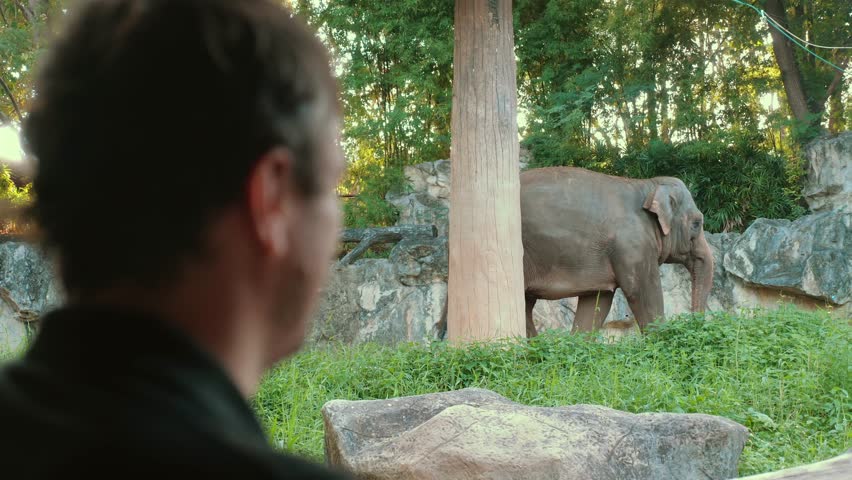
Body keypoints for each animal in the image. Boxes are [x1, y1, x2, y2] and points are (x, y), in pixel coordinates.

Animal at [521, 166, 714, 337]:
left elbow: (597, 300)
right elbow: (642, 293)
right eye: (697, 223)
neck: (648, 185)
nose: (693, 321)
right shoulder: (633, 245)